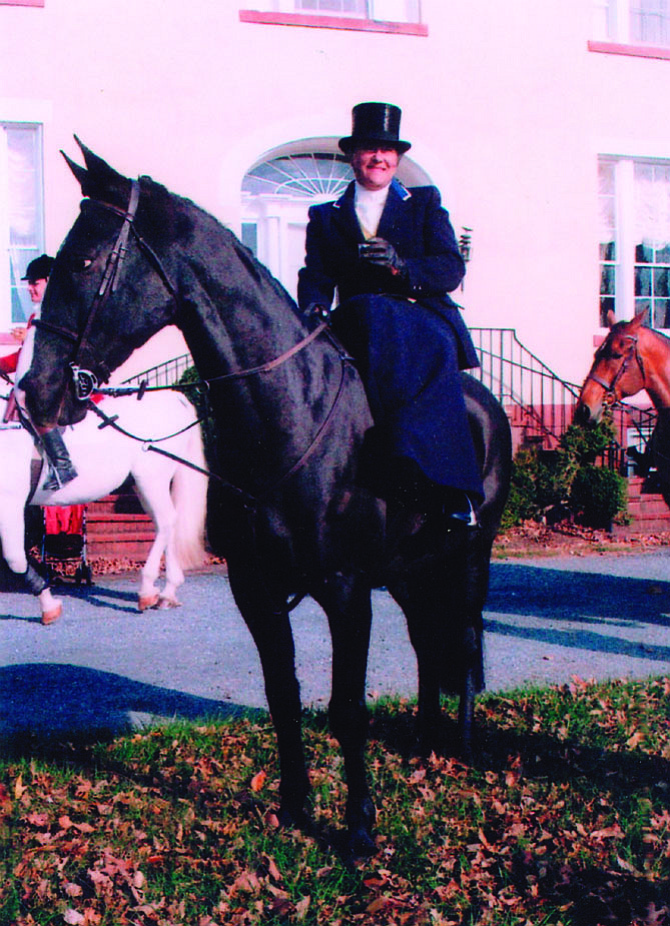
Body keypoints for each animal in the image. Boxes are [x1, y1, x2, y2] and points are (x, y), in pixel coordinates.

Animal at [0, 388, 207, 628]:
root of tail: (175, 397)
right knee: (165, 525)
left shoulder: (9, 503)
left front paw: (49, 607)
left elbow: (15, 559)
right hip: (143, 485)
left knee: (166, 522)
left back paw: (147, 590)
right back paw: (167, 593)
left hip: (151, 480)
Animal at [22, 141, 516, 860]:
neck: (286, 411)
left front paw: (358, 826)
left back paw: (464, 743)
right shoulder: (255, 588)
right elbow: (283, 694)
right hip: (408, 569)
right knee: (429, 642)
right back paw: (425, 741)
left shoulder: (345, 589)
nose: (36, 393)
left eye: (85, 261)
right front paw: (293, 806)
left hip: (471, 553)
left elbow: (346, 708)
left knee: (469, 637)